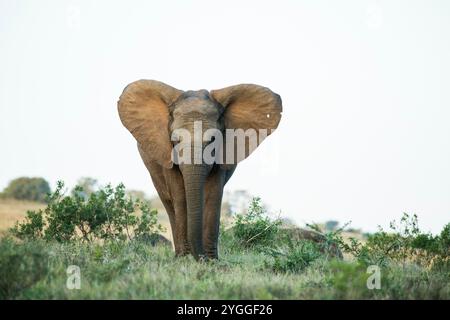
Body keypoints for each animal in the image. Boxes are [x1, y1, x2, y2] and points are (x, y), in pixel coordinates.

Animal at [118, 80, 284, 260]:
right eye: (175, 140)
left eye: (213, 139)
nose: (201, 257)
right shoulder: (166, 151)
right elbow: (179, 194)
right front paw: (185, 259)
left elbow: (213, 194)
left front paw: (211, 260)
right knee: (168, 202)